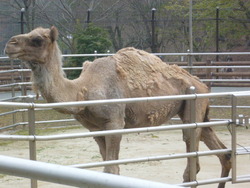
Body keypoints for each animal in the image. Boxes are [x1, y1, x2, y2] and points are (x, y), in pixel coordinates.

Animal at [4, 26, 231, 188]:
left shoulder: (115, 122)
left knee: (192, 157)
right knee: (222, 151)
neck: (82, 91)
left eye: (37, 39)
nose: (9, 44)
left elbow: (111, 171)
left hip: (194, 105)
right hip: (198, 112)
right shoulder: (95, 129)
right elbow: (107, 170)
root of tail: (202, 84)